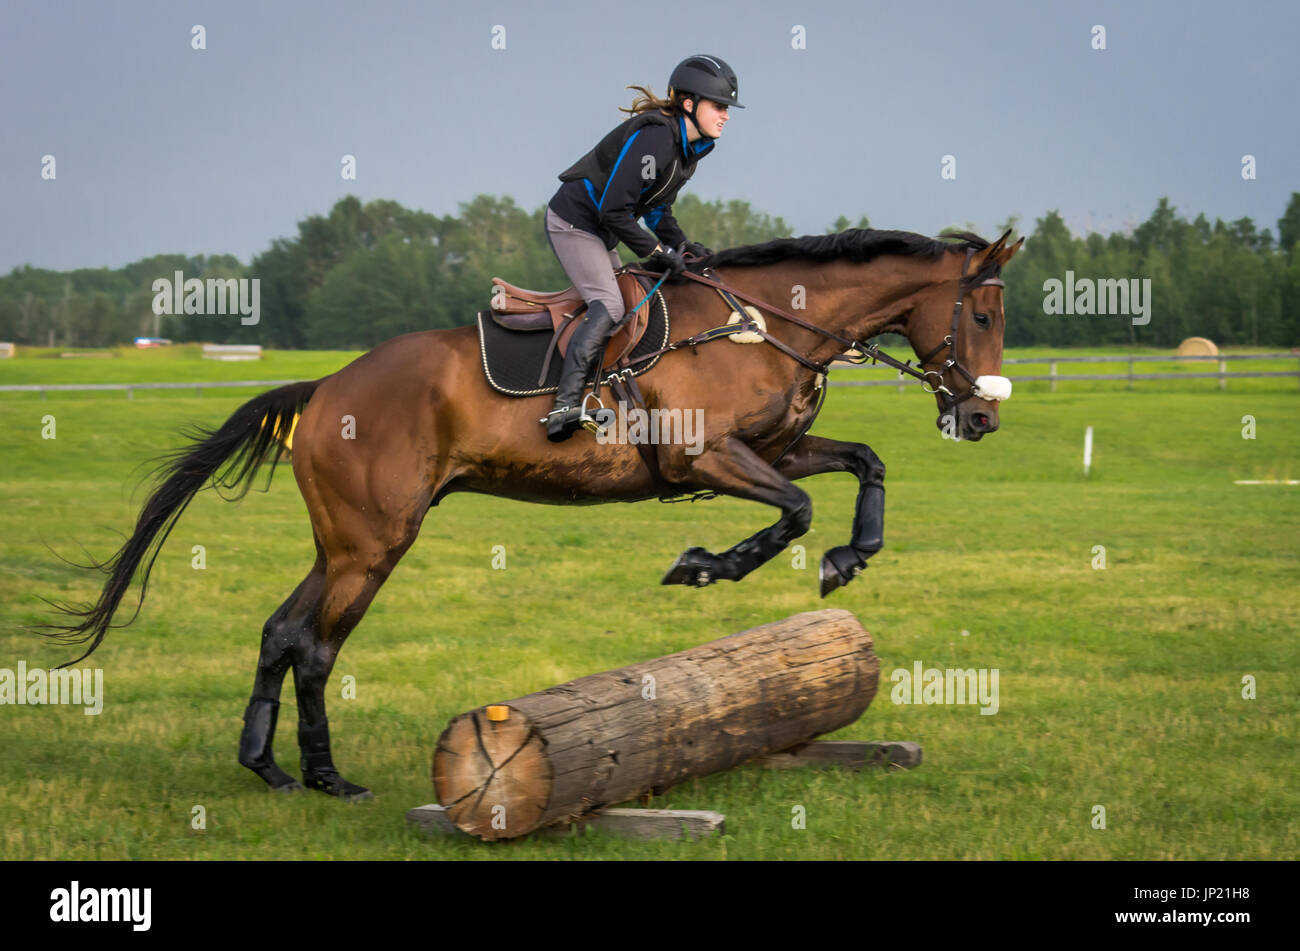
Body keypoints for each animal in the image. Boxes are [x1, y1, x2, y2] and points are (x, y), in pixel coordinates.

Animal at [43, 226, 1024, 800]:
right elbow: (795, 509)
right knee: (318, 646)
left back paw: (270, 766)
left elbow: (860, 466)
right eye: (980, 314)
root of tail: (324, 389)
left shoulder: (772, 449)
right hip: (375, 542)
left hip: (346, 540)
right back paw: (330, 777)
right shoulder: (707, 455)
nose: (982, 419)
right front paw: (704, 564)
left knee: (283, 629)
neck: (764, 323)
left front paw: (849, 558)